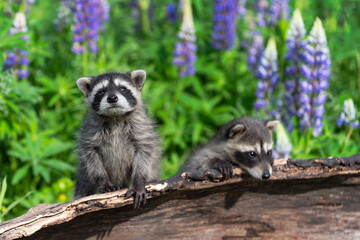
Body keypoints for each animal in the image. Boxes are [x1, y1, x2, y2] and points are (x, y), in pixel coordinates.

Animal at [74, 69, 160, 208]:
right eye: (101, 91)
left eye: (122, 88)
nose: (112, 98)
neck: (115, 117)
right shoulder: (90, 132)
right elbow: (92, 156)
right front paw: (103, 180)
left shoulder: (141, 128)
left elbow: (144, 153)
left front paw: (138, 181)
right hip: (84, 178)